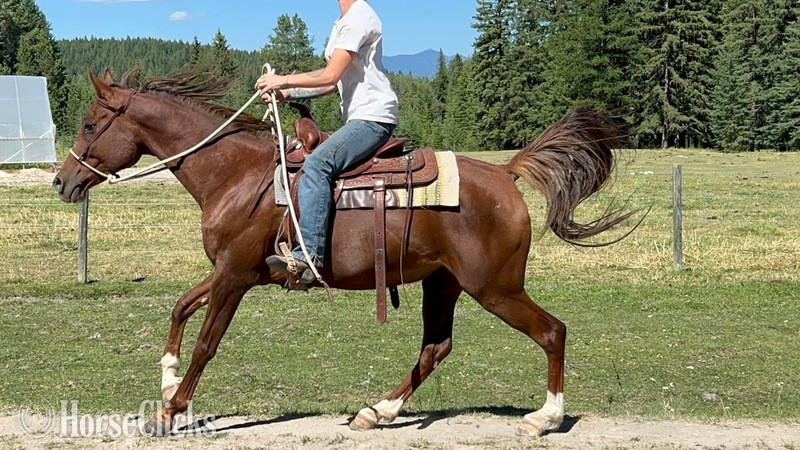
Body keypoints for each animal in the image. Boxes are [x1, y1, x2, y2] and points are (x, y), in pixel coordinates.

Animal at [54, 68, 636, 437]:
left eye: (89, 124)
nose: (62, 181)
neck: (236, 175)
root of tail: (506, 175)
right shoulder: (231, 271)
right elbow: (179, 309)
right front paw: (168, 379)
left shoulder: (234, 275)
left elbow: (206, 344)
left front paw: (171, 410)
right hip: (443, 282)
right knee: (436, 347)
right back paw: (377, 411)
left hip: (495, 286)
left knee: (551, 331)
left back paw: (545, 418)